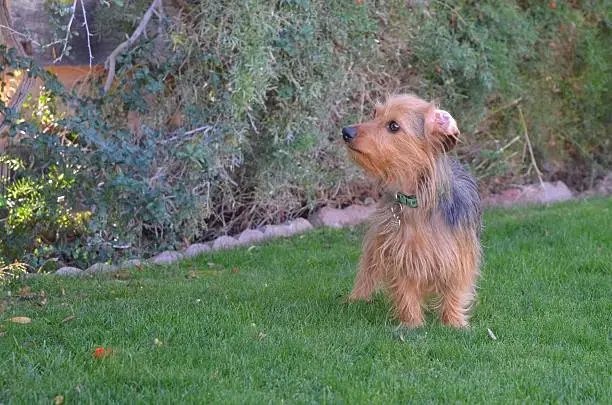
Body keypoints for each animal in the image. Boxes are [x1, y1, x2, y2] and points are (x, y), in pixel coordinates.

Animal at [342, 95, 480, 328]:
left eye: (393, 126)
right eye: (374, 114)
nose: (346, 131)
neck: (415, 201)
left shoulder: (459, 256)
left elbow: (454, 290)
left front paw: (453, 323)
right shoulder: (398, 253)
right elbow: (405, 291)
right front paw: (412, 323)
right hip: (375, 242)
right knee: (367, 270)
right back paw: (357, 298)